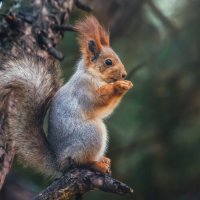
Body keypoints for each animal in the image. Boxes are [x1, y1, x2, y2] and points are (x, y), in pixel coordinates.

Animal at [0, 15, 133, 178]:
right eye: (108, 62)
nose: (124, 74)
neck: (91, 74)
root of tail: (59, 161)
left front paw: (126, 84)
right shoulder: (84, 88)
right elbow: (98, 101)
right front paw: (118, 86)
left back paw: (103, 160)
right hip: (91, 134)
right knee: (79, 161)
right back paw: (97, 164)